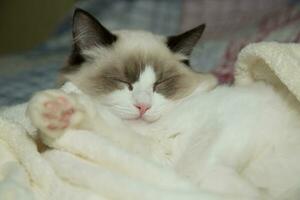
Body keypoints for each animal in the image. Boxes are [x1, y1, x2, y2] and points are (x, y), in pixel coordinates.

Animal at [26, 8, 300, 200]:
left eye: (160, 84)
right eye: (124, 82)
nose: (143, 107)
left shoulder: (220, 131)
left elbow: (199, 173)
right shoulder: (155, 154)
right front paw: (54, 111)